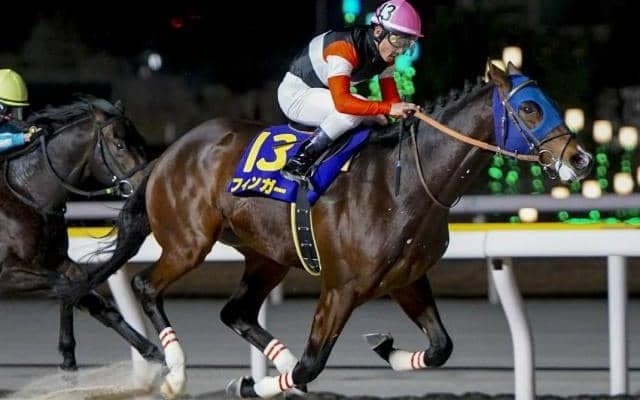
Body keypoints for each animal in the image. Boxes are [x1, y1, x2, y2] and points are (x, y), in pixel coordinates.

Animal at [0, 96, 163, 371]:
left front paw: (152, 351)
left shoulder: (58, 260)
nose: (147, 183)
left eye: (140, 141)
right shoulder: (7, 274)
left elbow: (86, 293)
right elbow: (69, 288)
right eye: (119, 145)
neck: (27, 195)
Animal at [63, 62, 593, 398]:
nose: (581, 160)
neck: (403, 183)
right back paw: (173, 371)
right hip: (189, 243)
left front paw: (386, 349)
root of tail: (167, 154)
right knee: (144, 285)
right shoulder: (341, 288)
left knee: (236, 312)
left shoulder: (405, 279)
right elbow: (313, 364)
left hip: (267, 256)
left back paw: (273, 363)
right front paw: (253, 382)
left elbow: (441, 348)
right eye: (531, 108)